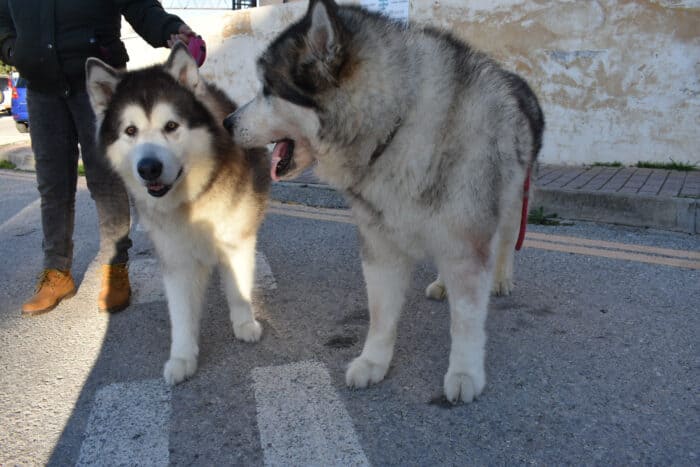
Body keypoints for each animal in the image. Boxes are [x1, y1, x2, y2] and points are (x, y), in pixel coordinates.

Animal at [227, 0, 544, 402]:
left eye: (268, 89)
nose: (227, 122)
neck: (394, 126)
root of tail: (517, 79)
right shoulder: (380, 247)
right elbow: (380, 315)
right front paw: (374, 362)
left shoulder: (466, 243)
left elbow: (466, 321)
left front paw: (464, 371)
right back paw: (442, 283)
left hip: (512, 199)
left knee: (504, 240)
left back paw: (501, 277)